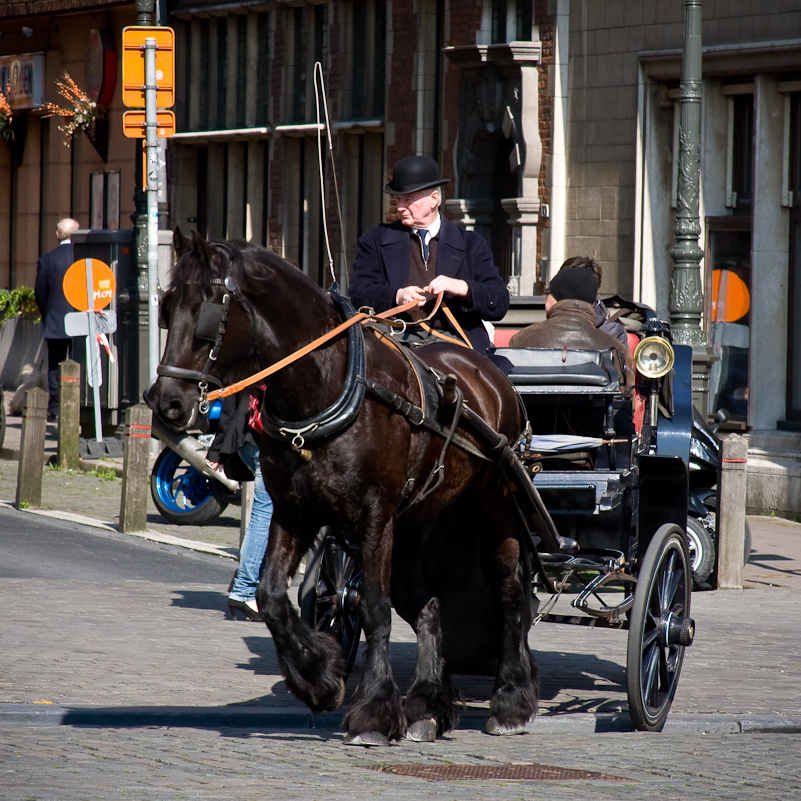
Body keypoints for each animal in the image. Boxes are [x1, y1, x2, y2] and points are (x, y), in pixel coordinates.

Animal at [148, 230, 540, 744]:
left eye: (210, 309)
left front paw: (372, 710)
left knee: (509, 590)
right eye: (167, 305)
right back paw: (427, 705)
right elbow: (272, 597)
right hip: (412, 523)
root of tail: (488, 372)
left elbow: (373, 608)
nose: (166, 402)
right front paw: (319, 679)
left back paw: (511, 700)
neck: (326, 388)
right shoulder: (293, 510)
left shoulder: (372, 515)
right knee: (428, 605)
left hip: (494, 503)